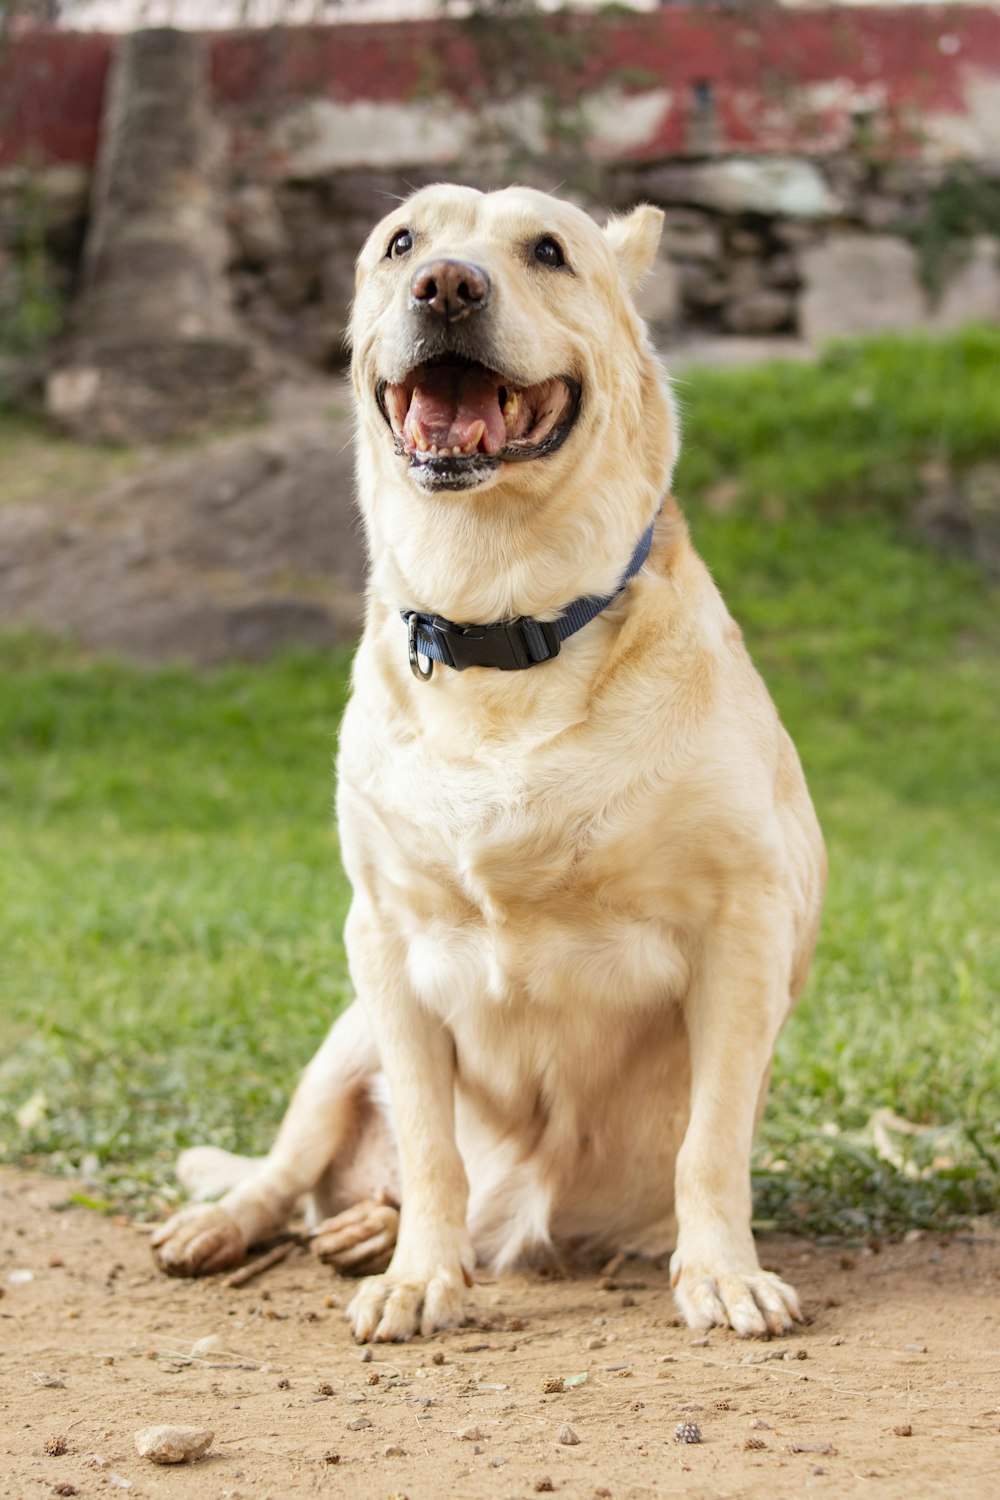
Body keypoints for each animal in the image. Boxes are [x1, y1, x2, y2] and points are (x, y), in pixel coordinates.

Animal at [152, 181, 827, 1344]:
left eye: (548, 250)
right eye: (401, 243)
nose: (446, 286)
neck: (500, 624)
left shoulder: (741, 927)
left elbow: (709, 1146)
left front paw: (723, 1273)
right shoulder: (382, 943)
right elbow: (431, 1149)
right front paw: (421, 1278)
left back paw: (362, 1229)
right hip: (343, 1039)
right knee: (289, 1172)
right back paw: (255, 1226)